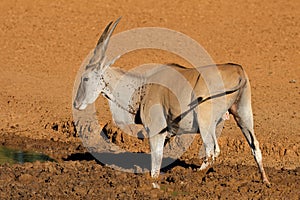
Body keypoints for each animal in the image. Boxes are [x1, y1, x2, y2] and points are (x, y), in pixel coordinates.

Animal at [74, 18, 270, 187]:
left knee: (212, 151)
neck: (143, 87)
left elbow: (155, 166)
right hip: (242, 115)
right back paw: (265, 181)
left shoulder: (157, 131)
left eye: (85, 78)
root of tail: (238, 71)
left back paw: (193, 176)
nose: (76, 104)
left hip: (206, 122)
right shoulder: (168, 134)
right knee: (254, 146)